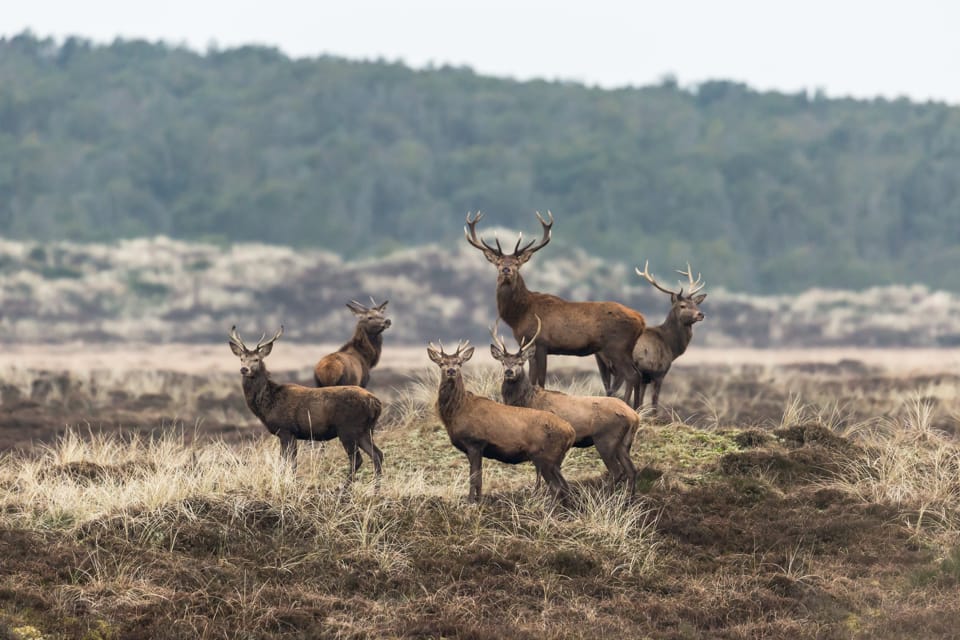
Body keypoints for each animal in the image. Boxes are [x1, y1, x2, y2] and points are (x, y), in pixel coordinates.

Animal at [229, 326, 384, 487]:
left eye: (256, 359)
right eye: (241, 359)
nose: (244, 369)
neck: (268, 404)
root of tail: (376, 403)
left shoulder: (286, 430)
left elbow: (290, 463)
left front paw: (289, 484)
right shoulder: (289, 434)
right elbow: (286, 462)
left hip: (348, 429)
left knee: (357, 459)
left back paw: (343, 489)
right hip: (365, 430)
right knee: (377, 454)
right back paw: (376, 488)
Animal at [426, 339, 576, 503]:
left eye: (459, 362)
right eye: (441, 363)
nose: (451, 370)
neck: (457, 411)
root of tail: (571, 431)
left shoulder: (475, 442)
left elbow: (474, 477)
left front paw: (471, 501)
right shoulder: (474, 447)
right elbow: (479, 478)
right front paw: (479, 500)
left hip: (545, 457)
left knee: (556, 487)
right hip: (555, 460)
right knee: (565, 487)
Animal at [464, 211, 646, 403]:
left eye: (516, 263)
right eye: (498, 263)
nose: (506, 269)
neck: (519, 315)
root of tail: (642, 320)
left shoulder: (541, 343)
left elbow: (540, 380)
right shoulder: (529, 345)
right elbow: (533, 378)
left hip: (617, 346)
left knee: (632, 375)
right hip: (624, 349)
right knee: (638, 375)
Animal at [490, 317, 639, 494]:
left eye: (520, 362)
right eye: (503, 362)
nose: (509, 372)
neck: (526, 401)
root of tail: (634, 416)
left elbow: (539, 469)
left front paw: (536, 491)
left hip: (606, 439)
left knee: (617, 471)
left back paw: (603, 494)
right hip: (624, 443)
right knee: (631, 470)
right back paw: (628, 497)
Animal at [601, 262, 706, 415]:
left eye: (696, 304)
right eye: (682, 305)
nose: (701, 314)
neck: (671, 346)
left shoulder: (645, 377)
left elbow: (640, 402)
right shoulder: (659, 373)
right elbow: (654, 404)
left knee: (609, 390)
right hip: (621, 365)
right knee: (616, 390)